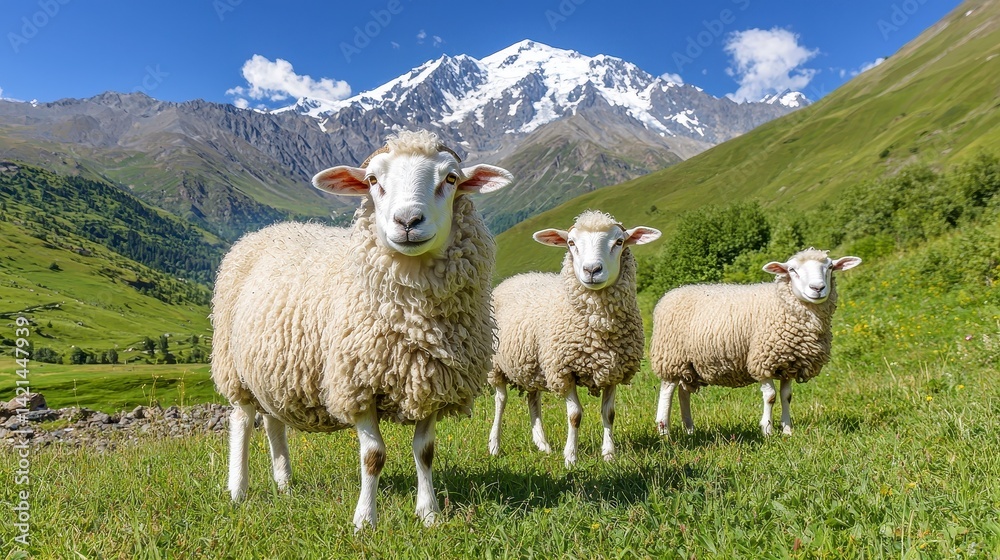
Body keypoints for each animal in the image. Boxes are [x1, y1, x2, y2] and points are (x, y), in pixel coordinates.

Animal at [210, 130, 513, 531]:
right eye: (372, 180)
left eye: (451, 178)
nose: (407, 220)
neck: (415, 325)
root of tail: (271, 228)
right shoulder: (357, 384)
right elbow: (373, 456)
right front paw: (365, 520)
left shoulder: (431, 381)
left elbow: (425, 452)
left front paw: (429, 513)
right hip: (234, 366)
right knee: (242, 420)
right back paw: (238, 490)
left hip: (274, 371)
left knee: (274, 422)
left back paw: (284, 483)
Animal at [488, 211, 661, 467]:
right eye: (571, 243)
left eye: (619, 242)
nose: (592, 269)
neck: (599, 332)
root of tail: (517, 277)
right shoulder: (563, 370)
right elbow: (575, 415)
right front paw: (570, 457)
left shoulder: (612, 370)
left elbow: (609, 413)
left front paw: (609, 454)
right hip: (496, 364)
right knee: (500, 400)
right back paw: (495, 445)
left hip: (533, 363)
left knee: (533, 399)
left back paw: (543, 444)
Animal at [649, 248, 861, 438]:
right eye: (792, 270)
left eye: (831, 267)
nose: (817, 288)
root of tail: (673, 292)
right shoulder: (762, 360)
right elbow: (771, 396)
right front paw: (767, 430)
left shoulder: (788, 363)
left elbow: (786, 396)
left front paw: (787, 431)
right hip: (671, 357)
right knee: (667, 391)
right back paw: (664, 430)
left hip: (689, 364)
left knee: (683, 392)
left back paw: (690, 430)